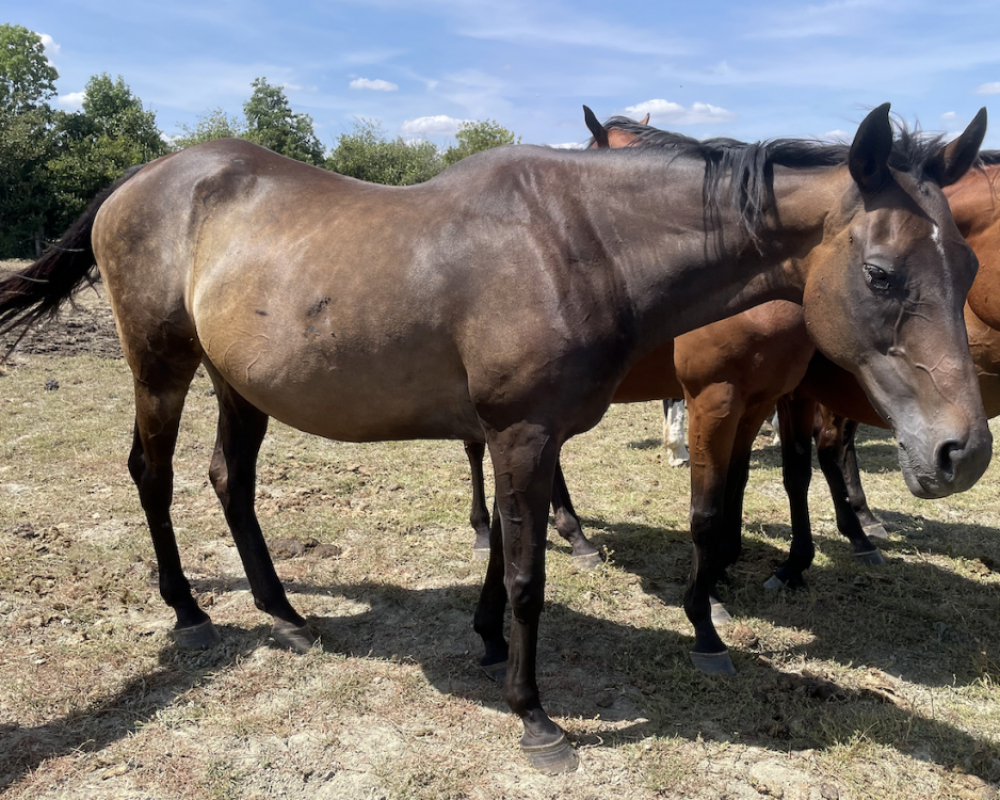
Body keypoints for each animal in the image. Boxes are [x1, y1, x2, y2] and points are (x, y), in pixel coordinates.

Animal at [0, 104, 988, 774]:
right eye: (881, 273)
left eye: (969, 260)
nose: (963, 452)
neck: (579, 241)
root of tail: (143, 178)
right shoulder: (521, 435)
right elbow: (526, 577)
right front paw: (534, 715)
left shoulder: (525, 437)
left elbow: (508, 555)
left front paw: (483, 644)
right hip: (161, 367)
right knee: (154, 475)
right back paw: (192, 613)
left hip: (240, 383)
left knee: (229, 482)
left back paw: (283, 614)